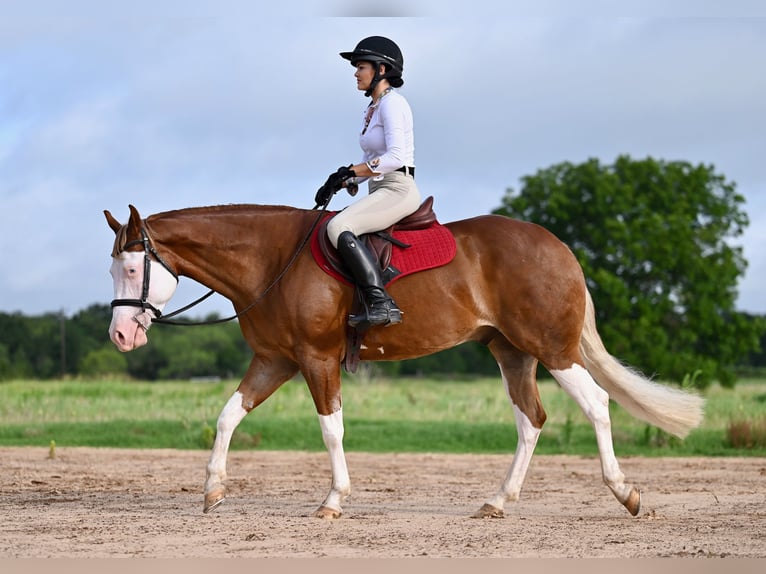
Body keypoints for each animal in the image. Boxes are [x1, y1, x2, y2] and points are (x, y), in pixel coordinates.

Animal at [105, 204, 704, 520]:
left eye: (132, 269)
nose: (120, 335)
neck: (273, 261)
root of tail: (558, 247)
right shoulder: (274, 360)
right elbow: (229, 414)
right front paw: (213, 490)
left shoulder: (315, 359)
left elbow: (331, 430)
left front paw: (333, 502)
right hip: (511, 352)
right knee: (531, 420)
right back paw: (498, 501)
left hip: (551, 349)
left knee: (596, 404)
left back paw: (625, 493)